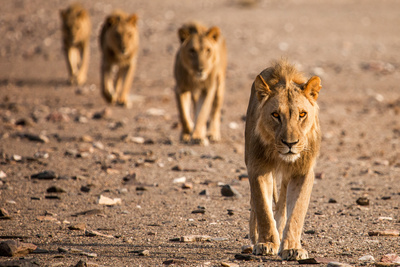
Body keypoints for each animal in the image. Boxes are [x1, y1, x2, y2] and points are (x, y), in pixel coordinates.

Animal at [244, 60, 322, 262]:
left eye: (302, 114)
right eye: (275, 115)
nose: (290, 143)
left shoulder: (302, 171)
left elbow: (296, 212)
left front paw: (293, 248)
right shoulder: (258, 167)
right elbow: (263, 208)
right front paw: (266, 243)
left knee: (282, 205)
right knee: (256, 205)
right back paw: (256, 237)